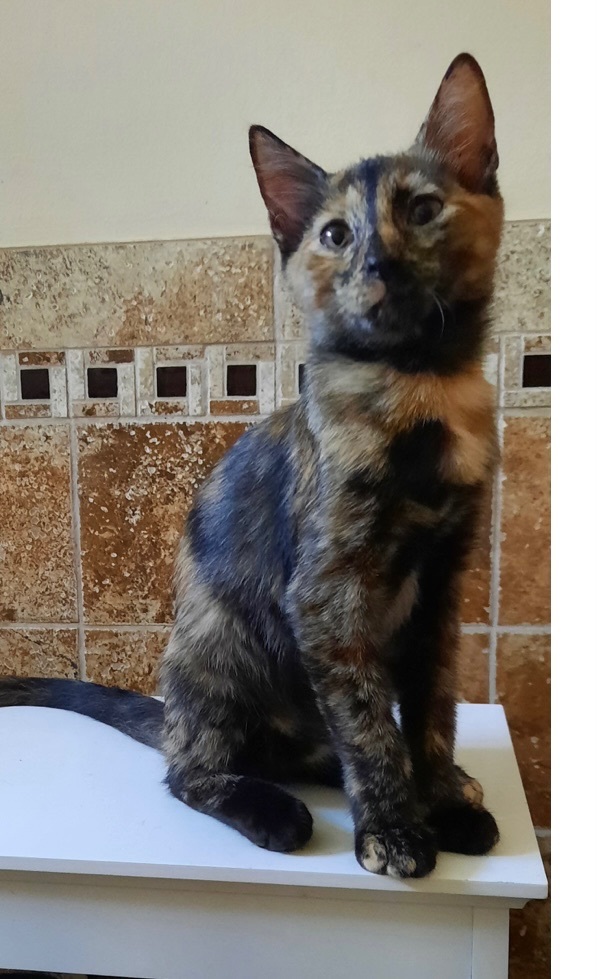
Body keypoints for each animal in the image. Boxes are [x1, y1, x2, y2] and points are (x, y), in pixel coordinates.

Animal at [0, 53, 502, 879]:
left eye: (424, 209)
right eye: (335, 233)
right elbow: (369, 721)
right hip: (220, 642)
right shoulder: (327, 596)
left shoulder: (440, 589)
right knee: (193, 769)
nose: (379, 261)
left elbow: (430, 709)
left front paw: (438, 798)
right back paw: (274, 809)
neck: (417, 389)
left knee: (312, 743)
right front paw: (395, 828)